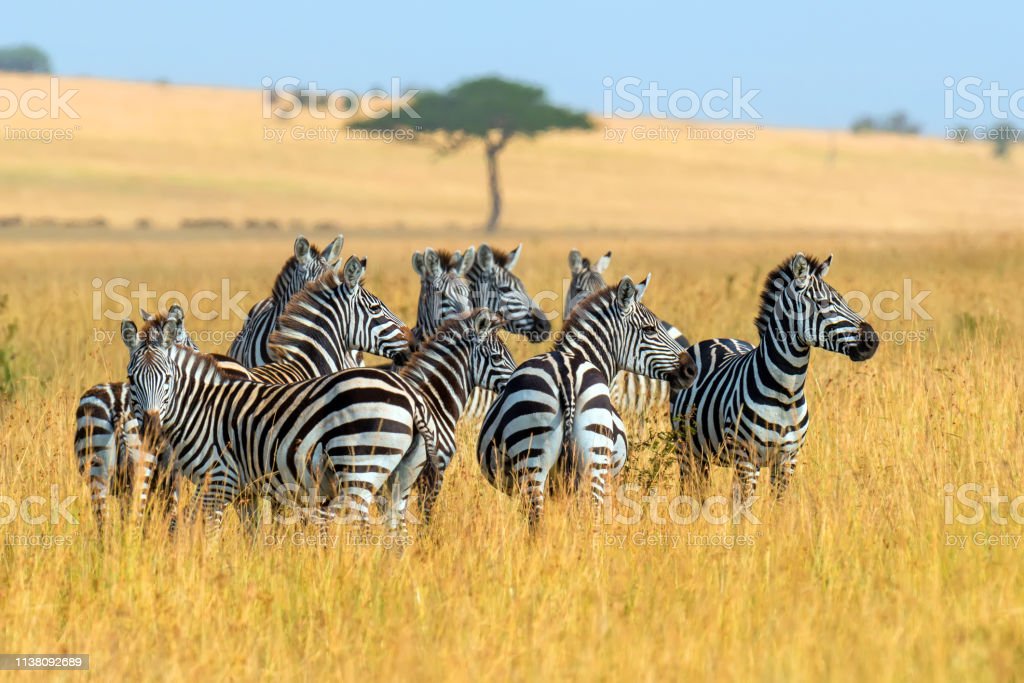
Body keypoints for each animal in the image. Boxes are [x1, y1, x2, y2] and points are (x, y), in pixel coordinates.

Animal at [477, 272, 696, 528]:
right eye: (649, 329)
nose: (691, 369)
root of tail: (567, 374)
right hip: (587, 456)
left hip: (540, 457)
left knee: (541, 520)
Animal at [671, 253, 880, 509]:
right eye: (823, 303)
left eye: (842, 300)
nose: (872, 341)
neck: (786, 392)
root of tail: (717, 339)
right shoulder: (747, 457)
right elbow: (745, 509)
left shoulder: (787, 459)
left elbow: (778, 506)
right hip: (687, 449)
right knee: (690, 489)